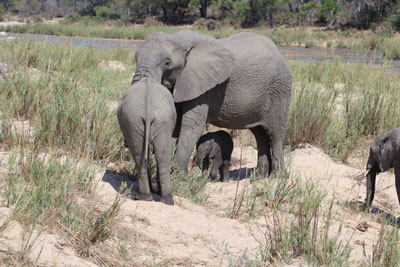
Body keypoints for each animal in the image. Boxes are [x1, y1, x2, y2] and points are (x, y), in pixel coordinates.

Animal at [117, 78, 177, 206]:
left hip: (138, 121)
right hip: (142, 121)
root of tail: (148, 112)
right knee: (159, 157)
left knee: (145, 155)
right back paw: (161, 200)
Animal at [133, 29, 292, 177]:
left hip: (279, 90)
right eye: (135, 57)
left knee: (275, 133)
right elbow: (176, 124)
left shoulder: (203, 85)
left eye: (167, 62)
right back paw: (258, 177)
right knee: (260, 133)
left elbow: (191, 126)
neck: (178, 39)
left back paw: (275, 177)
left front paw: (178, 175)